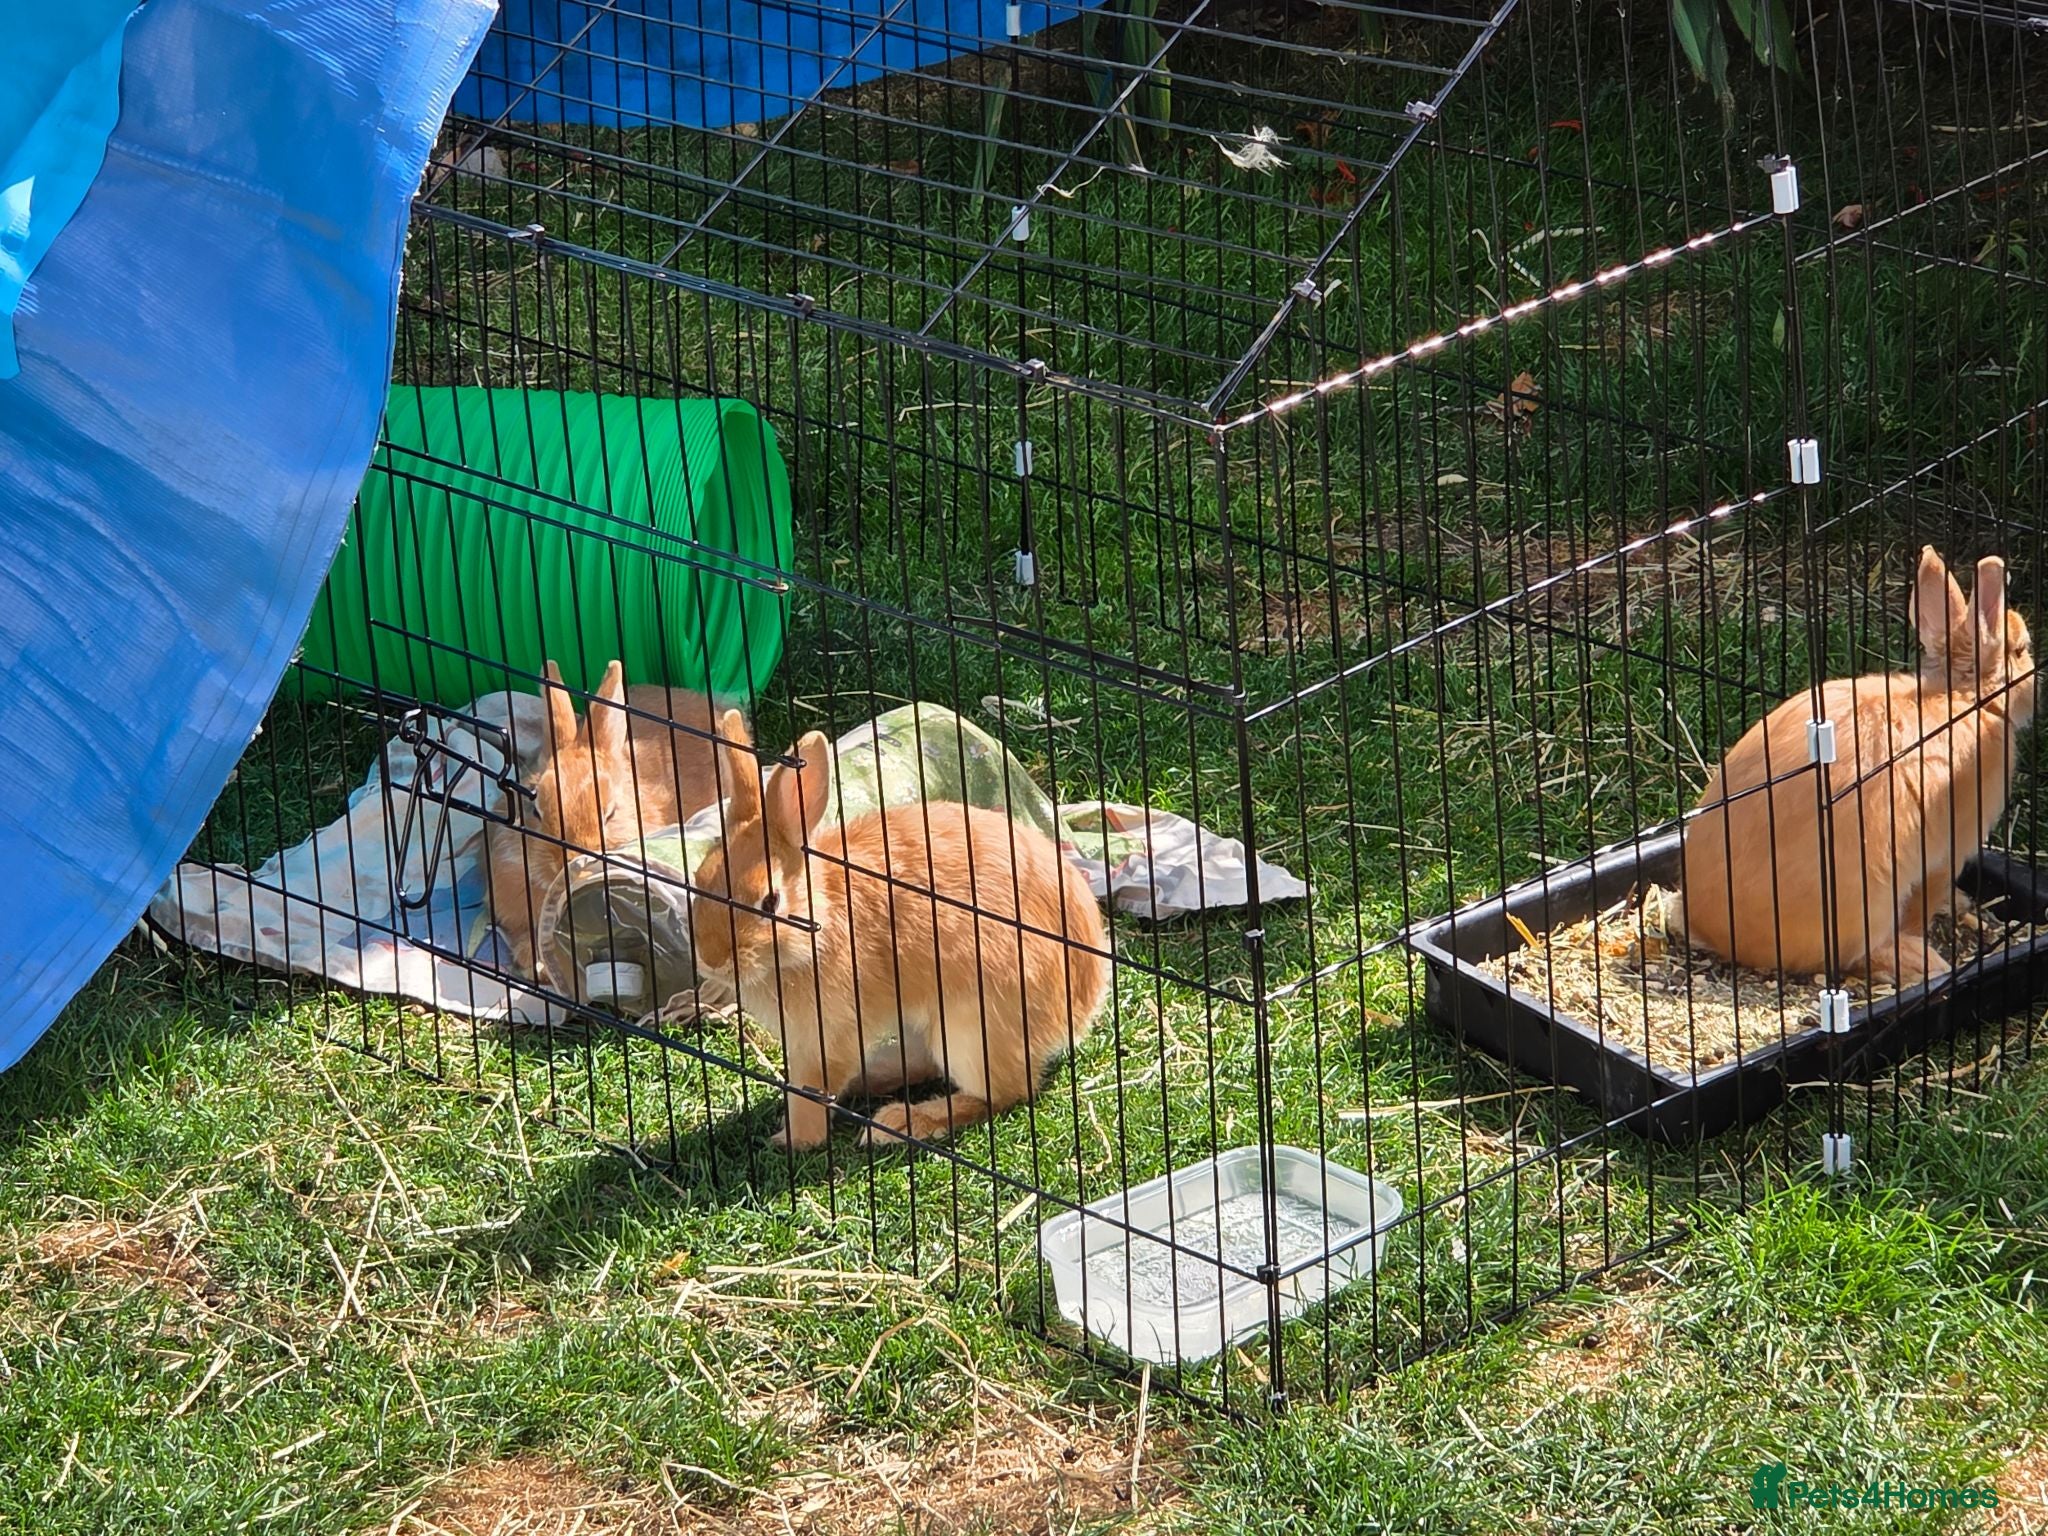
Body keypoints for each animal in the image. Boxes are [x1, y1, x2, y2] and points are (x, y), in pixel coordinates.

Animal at [688, 710, 1110, 1150]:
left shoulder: (829, 1036)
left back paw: (899, 1122)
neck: (820, 919)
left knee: (1002, 1093)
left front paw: (793, 1141)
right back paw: (871, 1080)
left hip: (971, 1029)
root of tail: (1085, 1000)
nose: (712, 961)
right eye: (700, 878)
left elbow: (811, 1091)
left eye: (770, 902)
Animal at [1679, 546, 2035, 987]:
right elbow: (1923, 902)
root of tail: (1717, 932)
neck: (1967, 699)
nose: (2035, 686)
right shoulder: (1945, 854)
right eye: (2020, 650)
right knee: (1855, 956)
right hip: (1870, 897)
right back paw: (1920, 961)